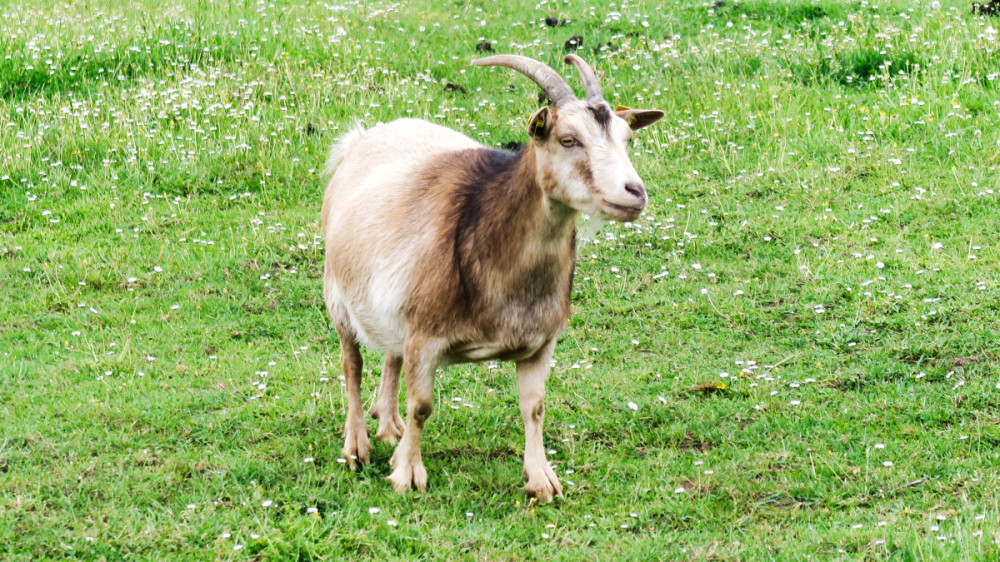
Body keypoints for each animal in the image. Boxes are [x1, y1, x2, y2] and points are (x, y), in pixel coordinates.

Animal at [321, 54, 663, 501]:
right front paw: (408, 474)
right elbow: (422, 406)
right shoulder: (425, 336)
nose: (634, 192)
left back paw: (389, 426)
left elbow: (534, 407)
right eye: (568, 140)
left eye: (627, 139)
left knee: (390, 355)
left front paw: (541, 479)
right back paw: (356, 445)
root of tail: (360, 140)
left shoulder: (540, 342)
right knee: (352, 363)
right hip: (337, 295)